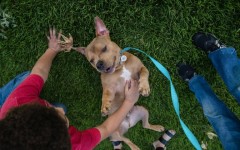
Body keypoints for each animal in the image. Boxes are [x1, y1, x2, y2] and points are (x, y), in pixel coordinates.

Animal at [76, 16, 164, 149]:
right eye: (91, 61)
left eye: (104, 48)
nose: (99, 64)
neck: (120, 66)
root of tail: (128, 122)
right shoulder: (109, 87)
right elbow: (106, 94)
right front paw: (105, 106)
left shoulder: (141, 67)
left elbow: (145, 73)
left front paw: (144, 87)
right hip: (114, 132)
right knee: (125, 139)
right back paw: (134, 147)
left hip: (143, 110)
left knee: (145, 125)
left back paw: (157, 127)